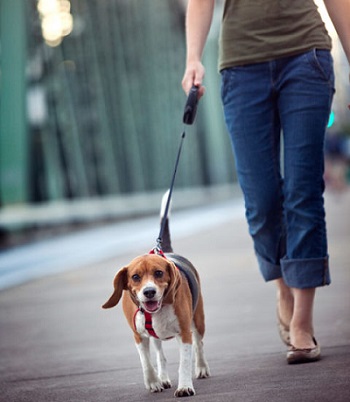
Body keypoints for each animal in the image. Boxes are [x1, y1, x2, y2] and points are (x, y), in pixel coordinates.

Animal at [102, 194, 209, 396]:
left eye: (159, 273)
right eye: (135, 277)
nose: (149, 292)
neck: (156, 311)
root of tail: (165, 251)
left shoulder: (185, 332)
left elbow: (184, 362)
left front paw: (184, 386)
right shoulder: (138, 335)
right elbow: (146, 362)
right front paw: (153, 382)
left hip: (198, 321)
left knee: (199, 345)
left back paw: (201, 368)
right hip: (156, 336)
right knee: (160, 354)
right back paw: (163, 378)